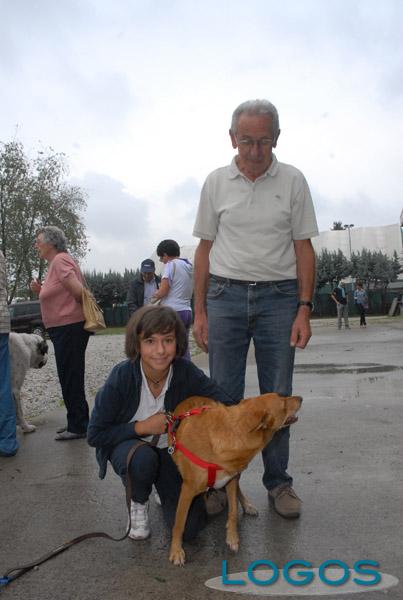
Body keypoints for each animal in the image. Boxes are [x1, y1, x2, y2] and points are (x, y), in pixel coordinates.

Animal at [167, 393, 302, 566]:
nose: (301, 398)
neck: (234, 431)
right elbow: (179, 524)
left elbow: (232, 512)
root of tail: (193, 396)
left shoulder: (230, 480)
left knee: (238, 491)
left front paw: (232, 538)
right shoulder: (187, 490)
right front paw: (176, 551)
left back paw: (247, 505)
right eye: (283, 404)